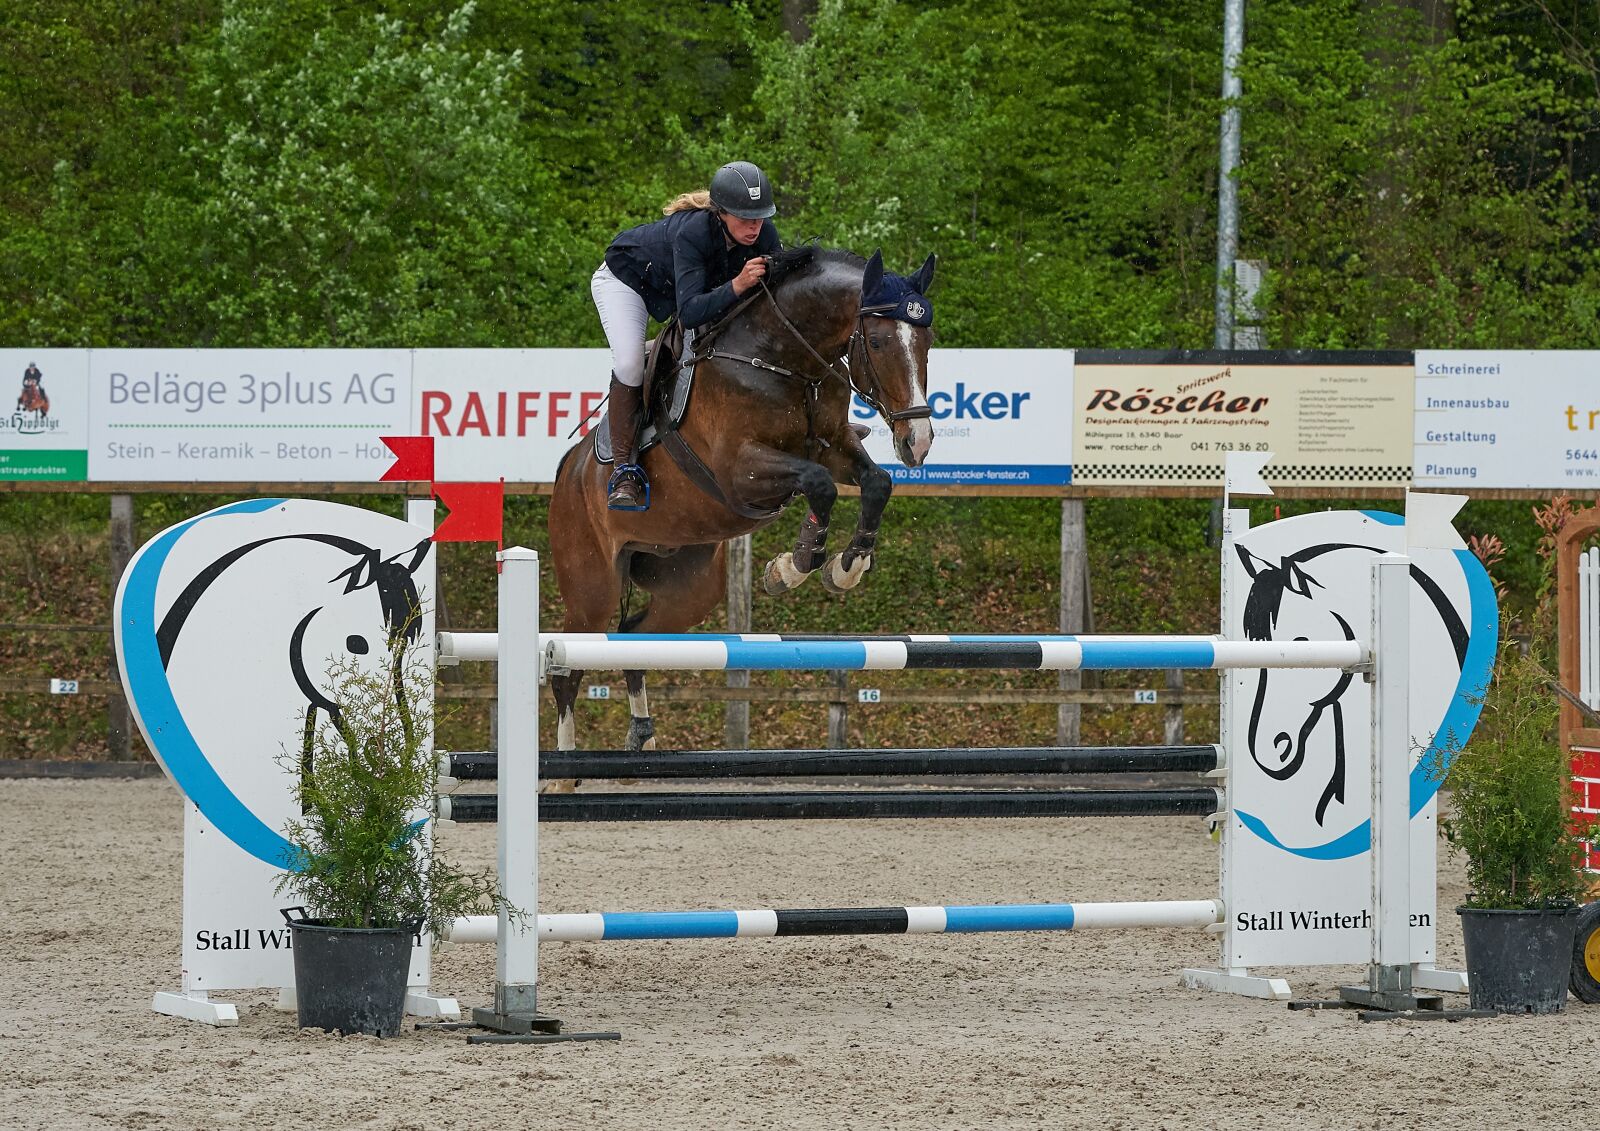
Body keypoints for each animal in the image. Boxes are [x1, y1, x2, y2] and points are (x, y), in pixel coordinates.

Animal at [547, 249, 934, 761]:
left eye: (928, 341)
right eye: (876, 340)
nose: (918, 441)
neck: (782, 359)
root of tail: (568, 471)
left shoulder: (834, 445)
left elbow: (876, 483)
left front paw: (845, 566)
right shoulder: (740, 471)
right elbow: (820, 485)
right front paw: (792, 566)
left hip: (688, 587)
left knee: (632, 637)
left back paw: (643, 734)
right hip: (591, 588)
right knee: (567, 668)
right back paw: (565, 765)